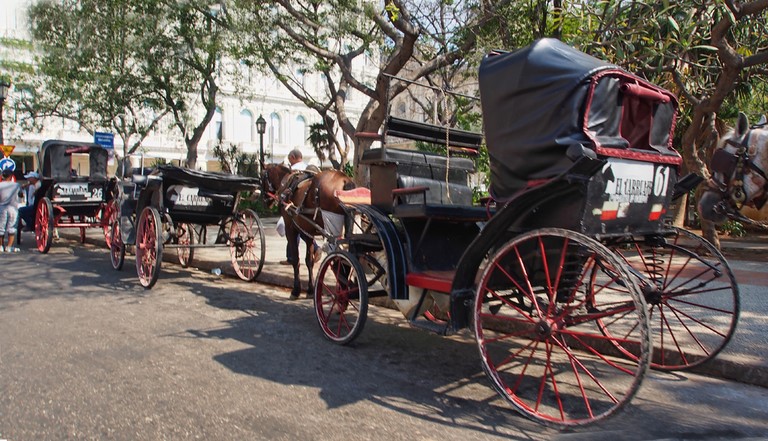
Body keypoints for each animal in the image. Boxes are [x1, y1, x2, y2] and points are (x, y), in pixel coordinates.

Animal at [258, 163, 354, 300]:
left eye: (261, 179)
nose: (264, 201)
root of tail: (345, 180)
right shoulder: (307, 231)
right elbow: (309, 261)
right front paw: (310, 289)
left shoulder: (290, 228)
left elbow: (296, 259)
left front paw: (296, 290)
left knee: (338, 260)